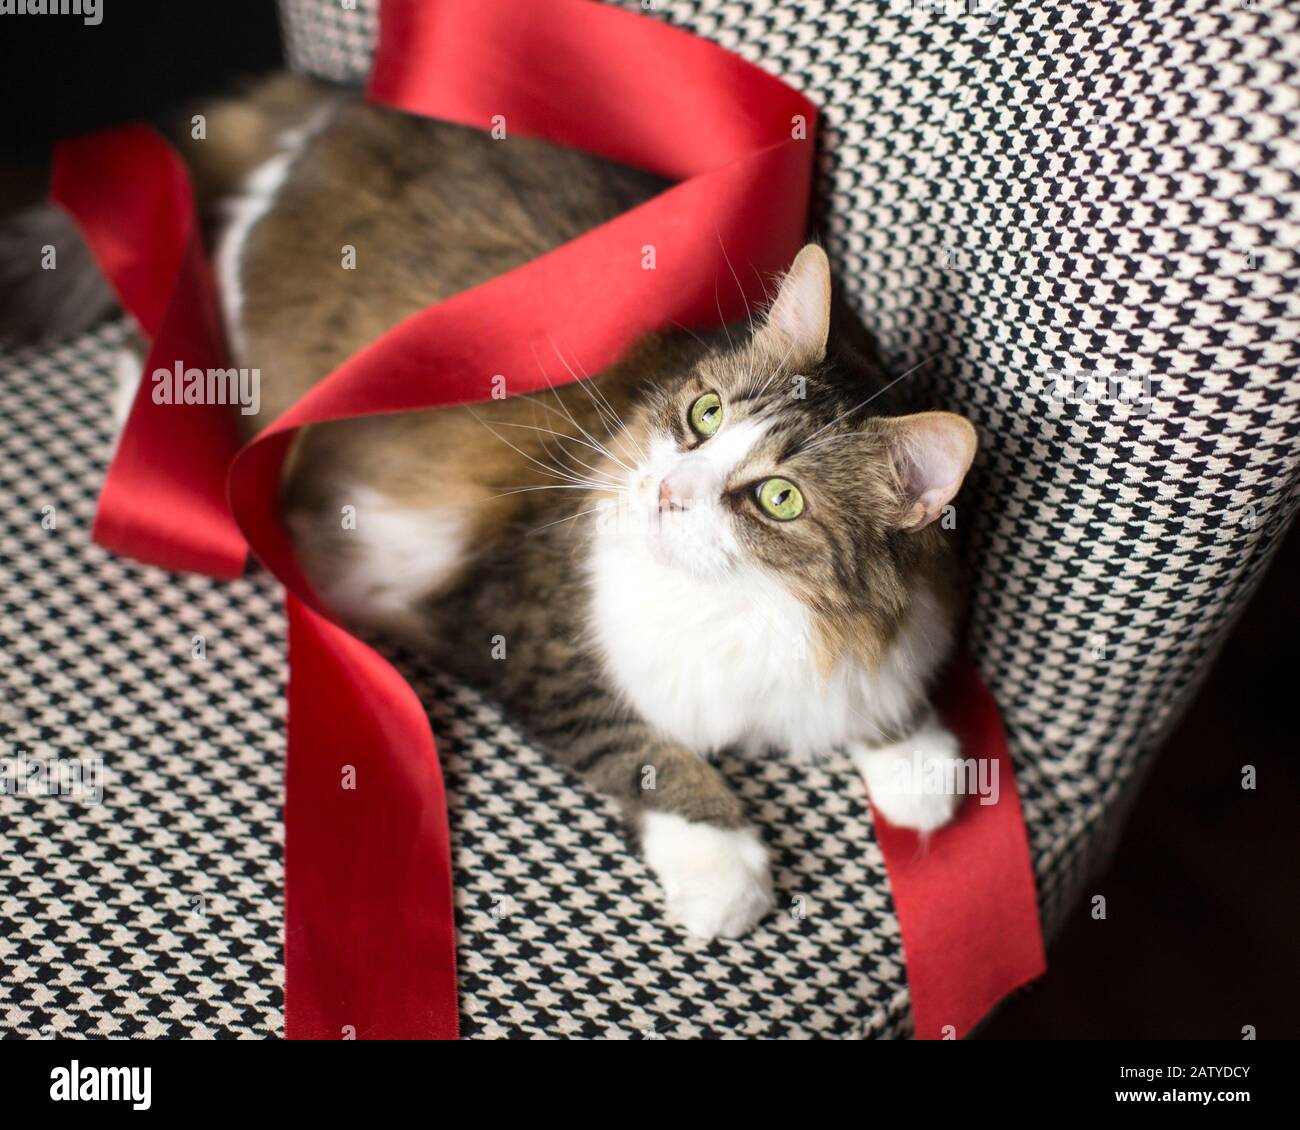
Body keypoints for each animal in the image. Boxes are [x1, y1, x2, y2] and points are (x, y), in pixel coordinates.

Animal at [0, 72, 977, 941]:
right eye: (703, 417)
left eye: (778, 497)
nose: (667, 490)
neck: (747, 613)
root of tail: (340, 103)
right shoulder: (526, 628)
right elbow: (644, 750)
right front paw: (724, 870)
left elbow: (883, 694)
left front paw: (918, 766)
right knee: (169, 348)